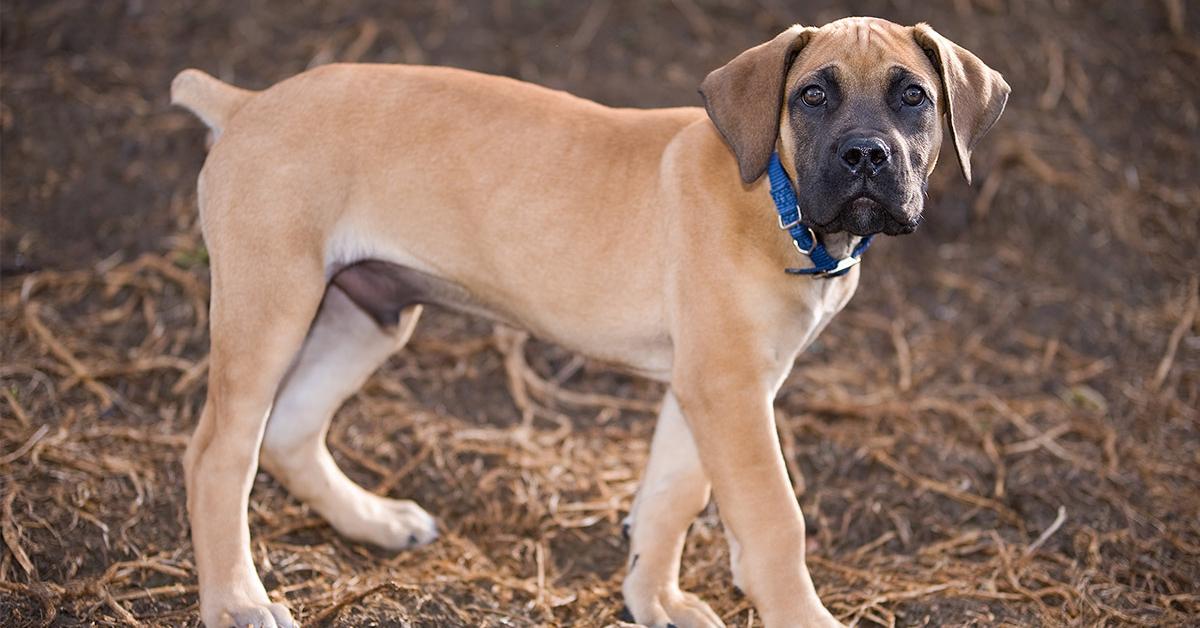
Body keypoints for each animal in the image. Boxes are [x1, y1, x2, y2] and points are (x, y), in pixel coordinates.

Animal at [174, 15, 1008, 628]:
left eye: (913, 97)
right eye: (812, 96)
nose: (867, 156)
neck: (777, 197)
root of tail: (244, 104)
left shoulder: (710, 388)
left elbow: (670, 500)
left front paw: (653, 600)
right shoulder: (729, 390)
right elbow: (774, 521)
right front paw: (799, 616)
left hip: (369, 312)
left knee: (290, 430)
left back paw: (372, 521)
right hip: (272, 305)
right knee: (220, 452)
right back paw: (238, 601)